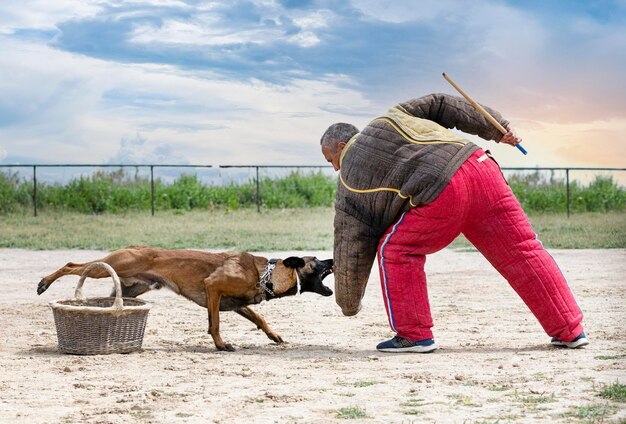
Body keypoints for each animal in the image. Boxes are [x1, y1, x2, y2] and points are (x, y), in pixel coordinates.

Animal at [36, 245, 332, 352]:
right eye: (316, 260)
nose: (333, 260)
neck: (265, 273)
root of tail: (131, 247)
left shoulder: (236, 304)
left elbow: (259, 318)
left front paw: (274, 335)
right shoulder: (213, 288)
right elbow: (215, 324)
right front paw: (221, 345)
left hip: (129, 286)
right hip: (107, 266)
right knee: (72, 264)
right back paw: (44, 283)